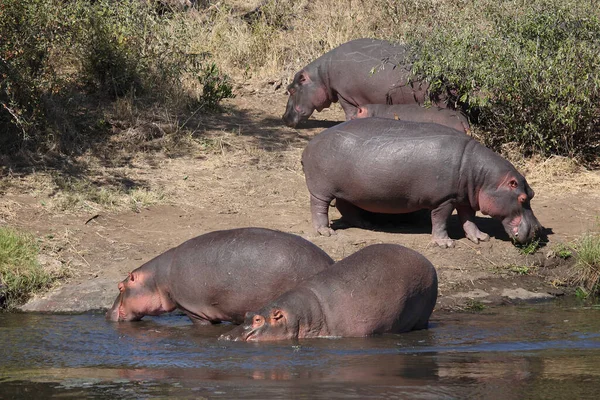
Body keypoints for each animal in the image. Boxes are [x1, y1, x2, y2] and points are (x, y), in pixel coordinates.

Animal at [302, 117, 540, 247]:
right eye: (522, 197)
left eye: (532, 194)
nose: (538, 230)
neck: (482, 176)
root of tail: (310, 144)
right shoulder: (444, 199)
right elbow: (440, 220)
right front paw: (446, 243)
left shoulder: (464, 198)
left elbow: (469, 219)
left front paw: (481, 238)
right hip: (322, 189)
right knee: (319, 207)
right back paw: (325, 232)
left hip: (348, 190)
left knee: (346, 206)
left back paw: (366, 224)